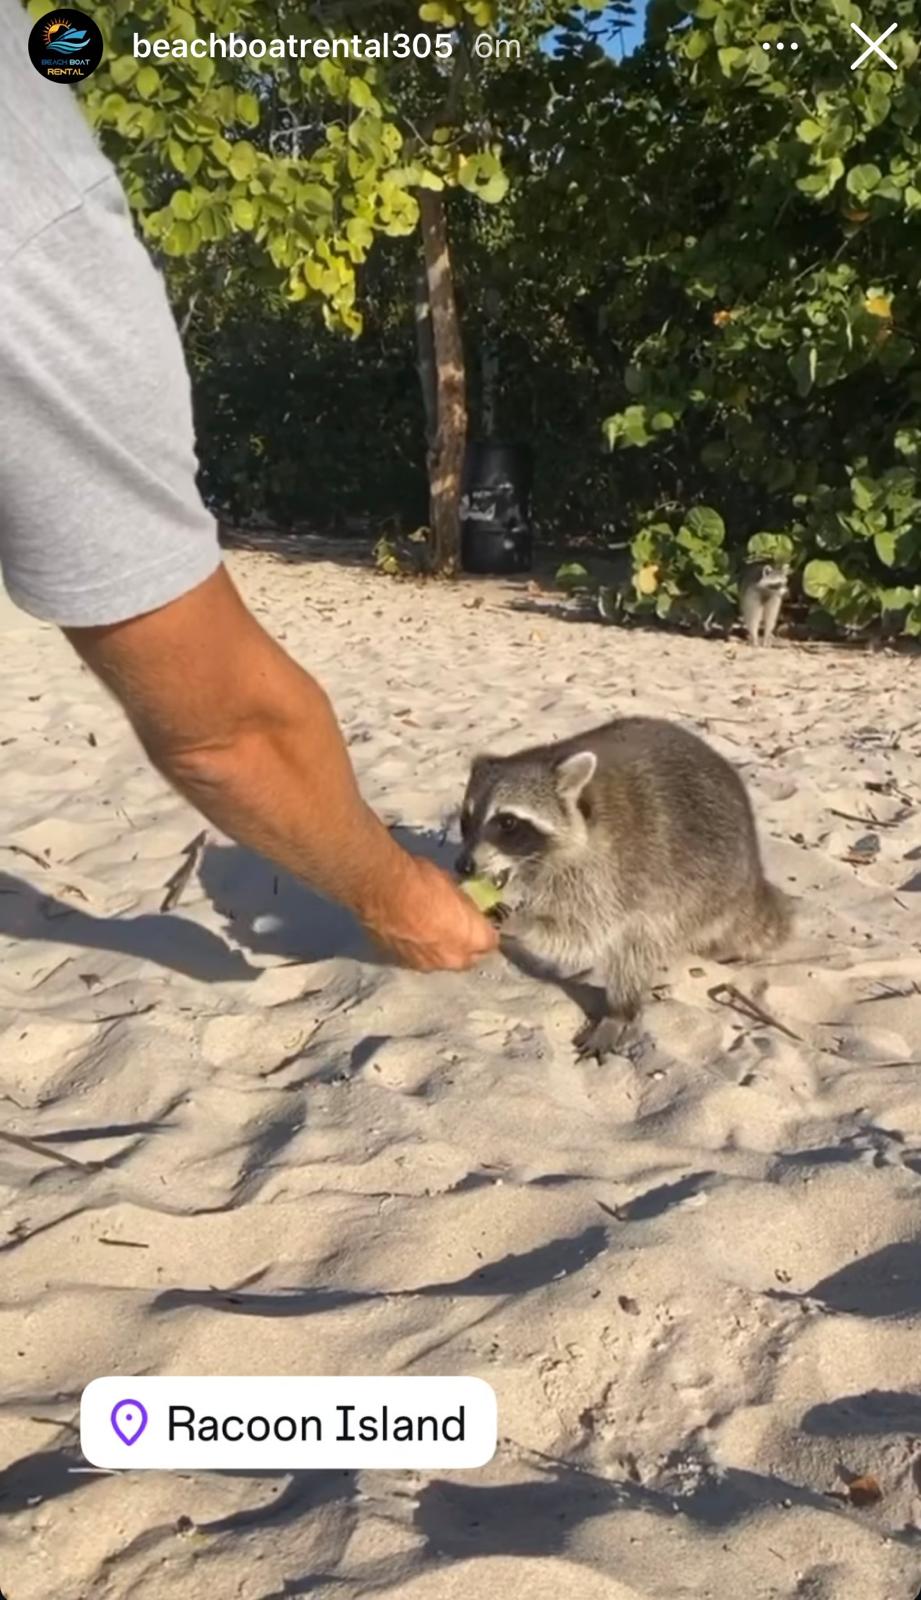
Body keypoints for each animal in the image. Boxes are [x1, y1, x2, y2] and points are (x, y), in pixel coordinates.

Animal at [456, 716, 793, 1061]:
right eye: (465, 820)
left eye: (507, 823)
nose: (463, 866)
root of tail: (752, 876)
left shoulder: (611, 872)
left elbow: (586, 933)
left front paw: (523, 923)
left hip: (692, 891)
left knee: (636, 942)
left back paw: (621, 1011)